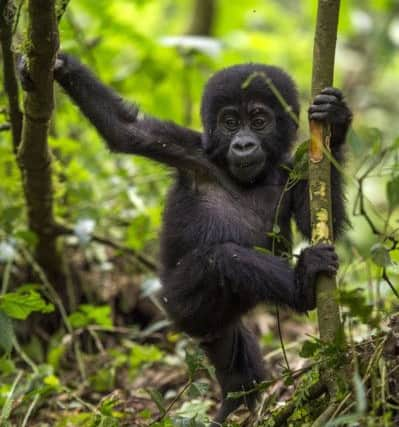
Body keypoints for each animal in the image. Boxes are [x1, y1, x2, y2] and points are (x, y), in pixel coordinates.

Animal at [22, 56, 354, 424]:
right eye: (229, 122)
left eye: (259, 121)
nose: (243, 144)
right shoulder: (193, 153)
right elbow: (127, 130)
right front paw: (60, 66)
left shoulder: (288, 172)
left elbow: (317, 220)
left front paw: (336, 121)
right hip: (181, 304)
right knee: (219, 260)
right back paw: (304, 284)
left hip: (215, 324)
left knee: (234, 355)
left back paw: (238, 396)